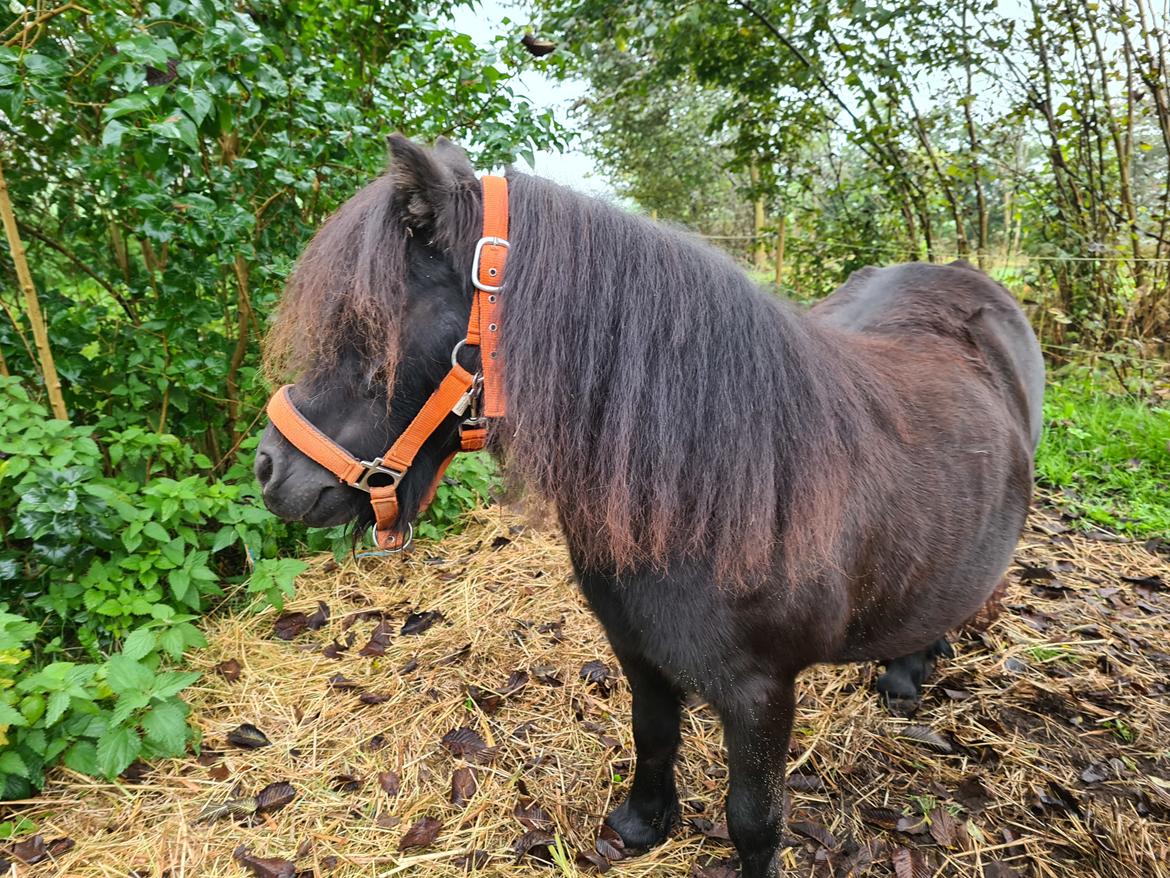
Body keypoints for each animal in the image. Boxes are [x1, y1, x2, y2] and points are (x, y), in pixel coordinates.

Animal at [256, 137, 1043, 878]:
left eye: (371, 328)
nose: (270, 469)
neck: (718, 486)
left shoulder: (761, 693)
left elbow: (754, 818)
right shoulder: (636, 647)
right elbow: (654, 735)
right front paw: (642, 826)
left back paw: (908, 673)